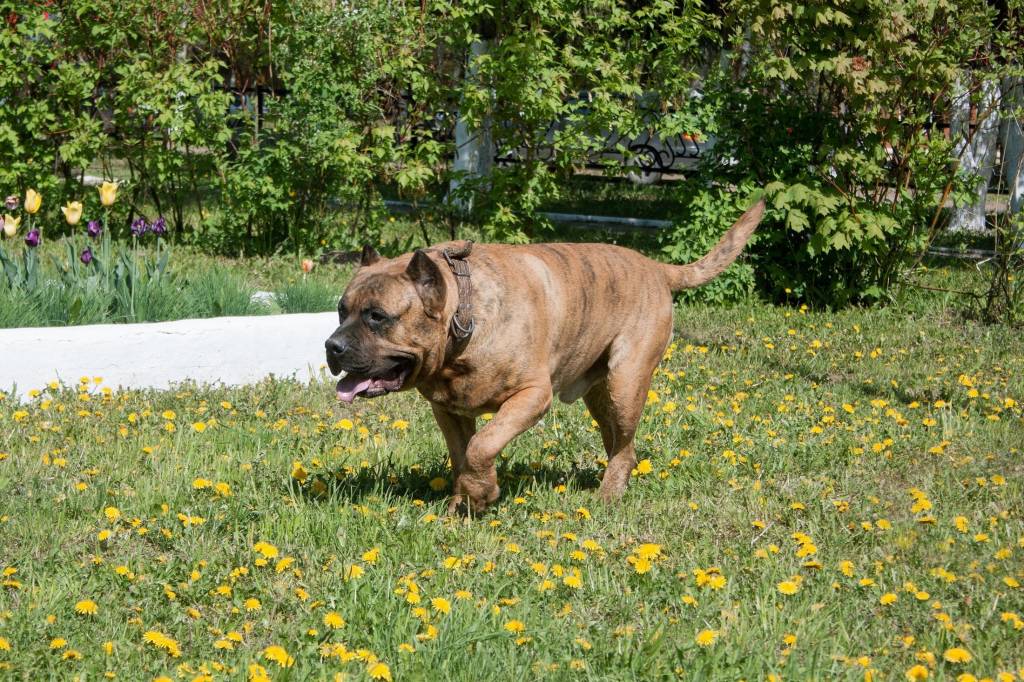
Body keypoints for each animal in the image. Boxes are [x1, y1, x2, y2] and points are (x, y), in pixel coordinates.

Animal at [325, 199, 764, 513]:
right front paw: (466, 501)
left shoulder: (532, 396)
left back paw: (608, 497)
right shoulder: (447, 410)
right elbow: (463, 454)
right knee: (618, 443)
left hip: (626, 383)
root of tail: (655, 267)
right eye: (341, 311)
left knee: (624, 446)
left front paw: (481, 494)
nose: (332, 346)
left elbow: (483, 444)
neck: (462, 318)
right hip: (601, 395)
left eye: (378, 317)